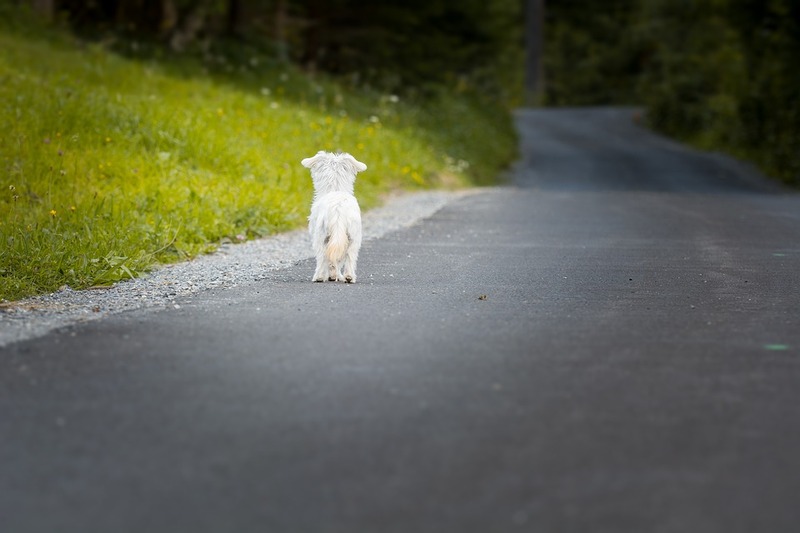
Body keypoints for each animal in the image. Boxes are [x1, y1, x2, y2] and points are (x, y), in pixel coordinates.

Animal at [300, 150, 366, 282]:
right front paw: (335, 275)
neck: (335, 188)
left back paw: (319, 277)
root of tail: (338, 209)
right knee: (350, 256)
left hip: (320, 236)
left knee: (322, 257)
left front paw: (332, 275)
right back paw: (349, 277)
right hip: (353, 237)